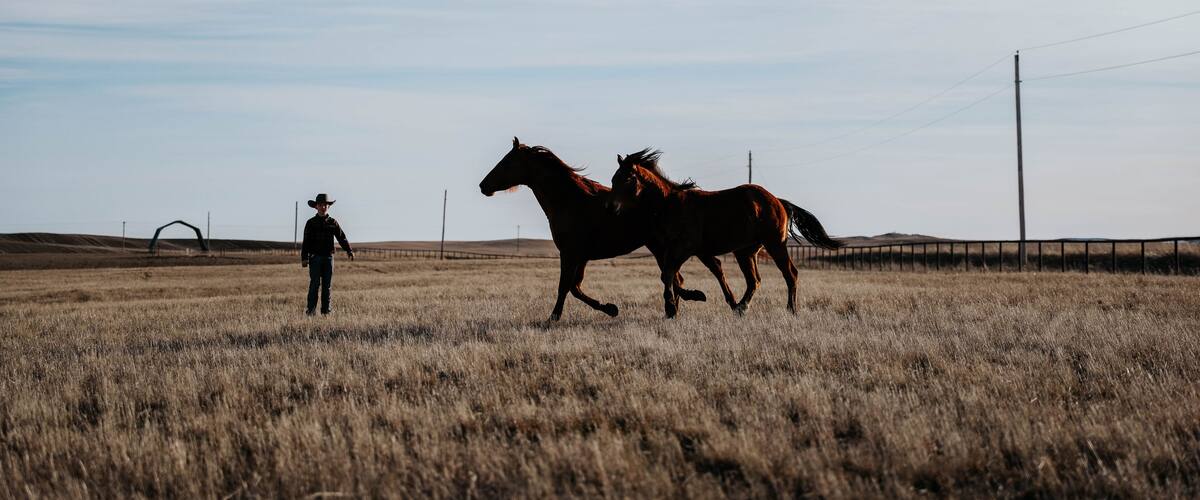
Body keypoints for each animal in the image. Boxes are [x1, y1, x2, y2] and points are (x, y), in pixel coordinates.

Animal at [479, 138, 712, 321]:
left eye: (507, 162)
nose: (483, 186)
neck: (570, 201)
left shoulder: (569, 253)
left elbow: (564, 286)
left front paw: (553, 318)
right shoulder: (581, 256)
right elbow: (575, 288)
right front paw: (610, 308)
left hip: (659, 247)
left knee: (673, 277)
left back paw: (683, 302)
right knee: (674, 277)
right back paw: (675, 309)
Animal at [609, 148, 843, 318]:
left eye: (627, 178)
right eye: (613, 179)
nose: (611, 207)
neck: (670, 205)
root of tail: (778, 201)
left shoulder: (684, 248)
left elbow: (669, 274)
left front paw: (674, 306)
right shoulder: (685, 251)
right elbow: (679, 274)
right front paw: (679, 304)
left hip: (775, 244)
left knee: (790, 274)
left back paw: (791, 310)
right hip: (745, 252)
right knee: (754, 281)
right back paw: (742, 307)